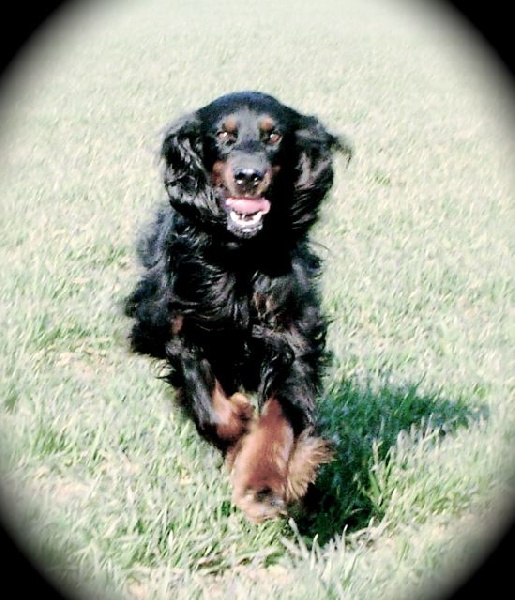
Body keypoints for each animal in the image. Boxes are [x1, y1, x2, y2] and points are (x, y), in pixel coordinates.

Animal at [124, 91, 351, 522]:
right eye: (223, 135)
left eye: (273, 135)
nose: (249, 175)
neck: (240, 253)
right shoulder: (179, 328)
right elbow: (213, 410)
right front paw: (241, 422)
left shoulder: (291, 339)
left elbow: (282, 415)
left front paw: (263, 484)